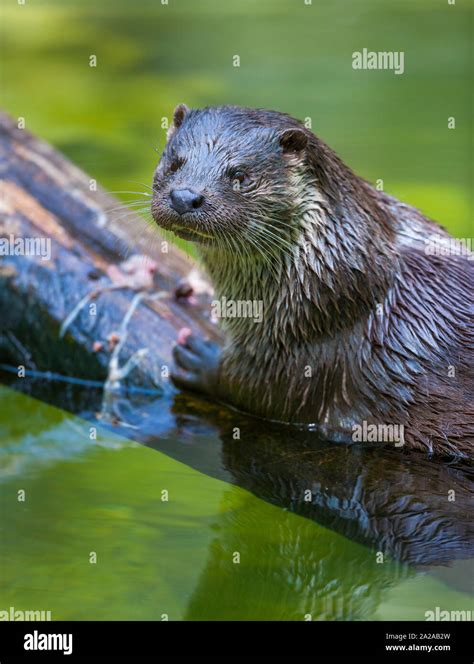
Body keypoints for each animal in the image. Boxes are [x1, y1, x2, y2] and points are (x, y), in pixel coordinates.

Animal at [153, 104, 474, 460]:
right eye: (174, 163)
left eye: (240, 176)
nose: (185, 196)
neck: (339, 267)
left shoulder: (311, 339)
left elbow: (257, 387)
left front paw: (200, 357)